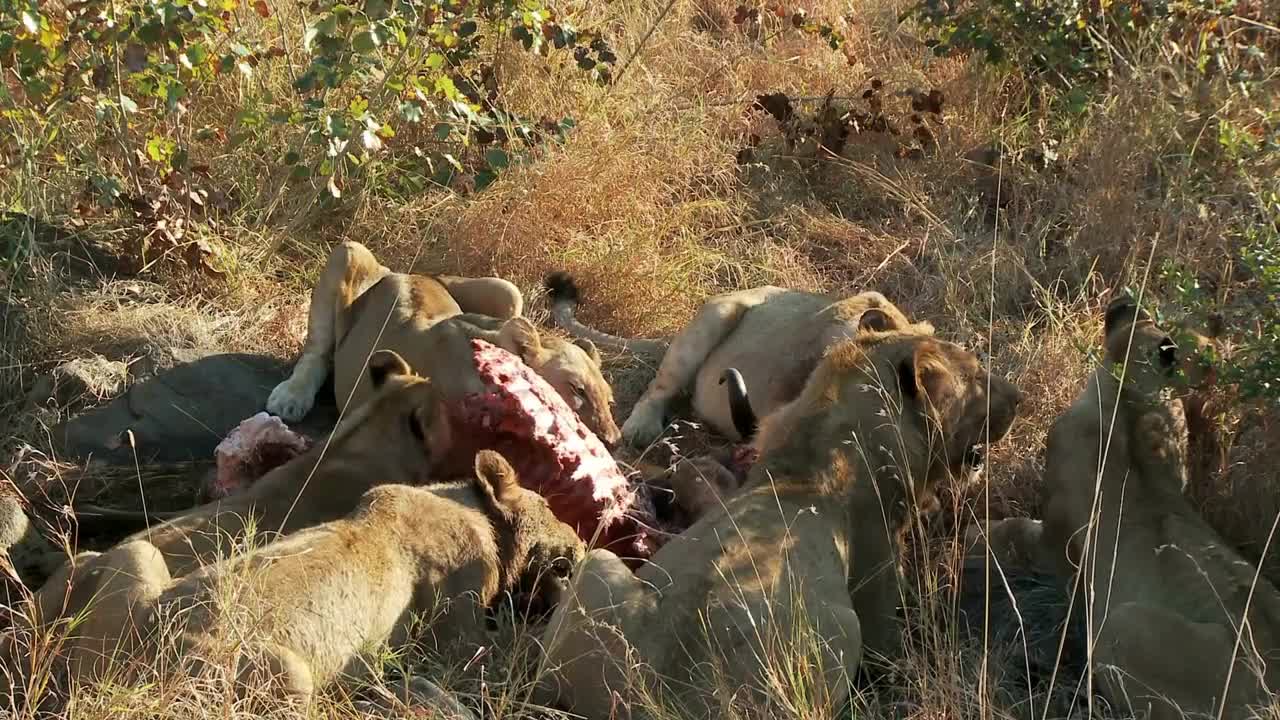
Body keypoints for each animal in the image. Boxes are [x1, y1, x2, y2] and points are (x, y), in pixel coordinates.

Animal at [20, 448, 583, 707]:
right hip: (284, 675)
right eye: (553, 507)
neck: (469, 505)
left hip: (133, 559)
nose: (580, 543)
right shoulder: (458, 633)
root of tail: (88, 679)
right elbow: (506, 654)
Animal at [270, 240, 619, 443]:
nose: (613, 441)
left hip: (507, 290)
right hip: (349, 249)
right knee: (318, 353)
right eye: (576, 390)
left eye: (609, 401)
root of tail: (405, 271)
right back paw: (290, 397)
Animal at [529, 311, 1018, 712]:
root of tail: (645, 700)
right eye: (978, 376)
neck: (815, 451)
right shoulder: (878, 588)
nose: (1019, 398)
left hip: (599, 564)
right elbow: (891, 651)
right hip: (840, 634)